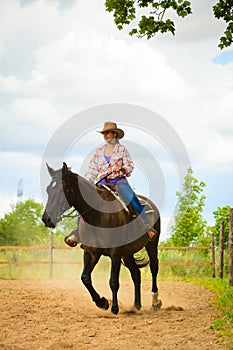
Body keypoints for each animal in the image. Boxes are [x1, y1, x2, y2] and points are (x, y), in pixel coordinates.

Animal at [42, 162, 162, 314]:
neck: (99, 214)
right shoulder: (91, 252)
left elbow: (113, 281)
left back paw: (155, 301)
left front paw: (114, 308)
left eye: (63, 189)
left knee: (154, 267)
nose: (46, 218)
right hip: (127, 254)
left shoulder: (115, 253)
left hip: (151, 245)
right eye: (48, 190)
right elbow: (85, 278)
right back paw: (136, 306)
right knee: (136, 274)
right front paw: (102, 302)